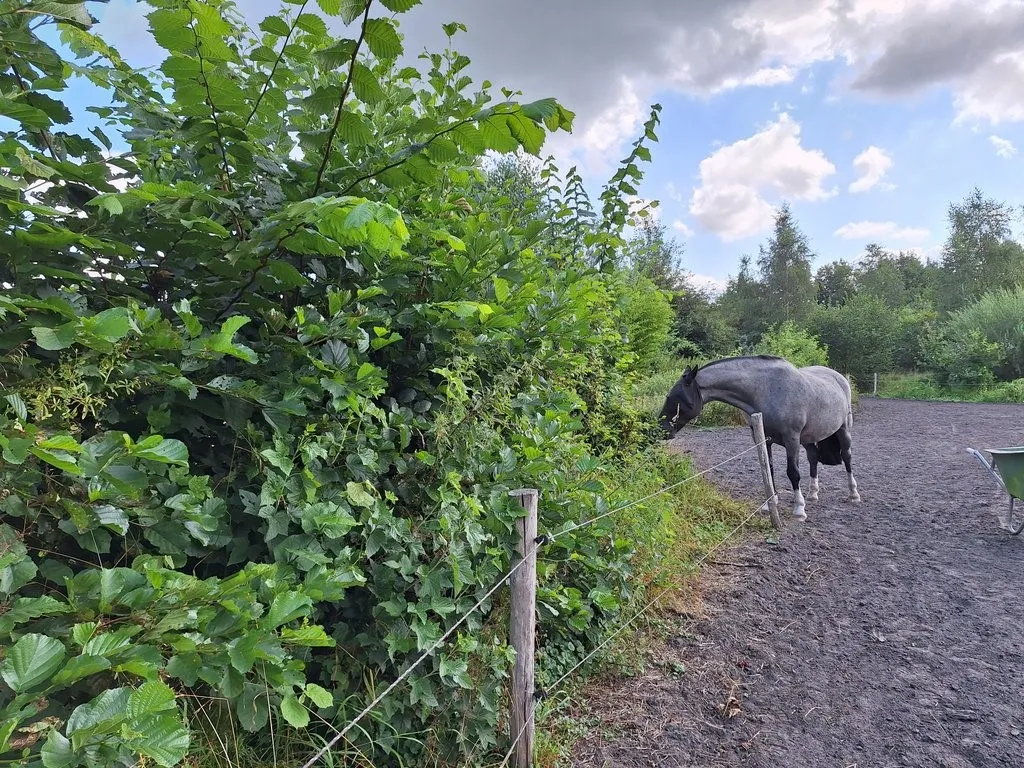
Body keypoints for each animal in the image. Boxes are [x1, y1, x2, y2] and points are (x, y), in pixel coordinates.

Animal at [659, 358, 860, 520]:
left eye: (673, 397)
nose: (662, 429)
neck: (767, 390)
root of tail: (840, 378)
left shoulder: (791, 439)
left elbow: (793, 472)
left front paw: (799, 509)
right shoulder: (764, 439)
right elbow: (768, 470)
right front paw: (770, 503)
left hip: (842, 431)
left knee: (847, 457)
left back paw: (853, 494)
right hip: (809, 439)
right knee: (813, 458)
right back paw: (812, 493)